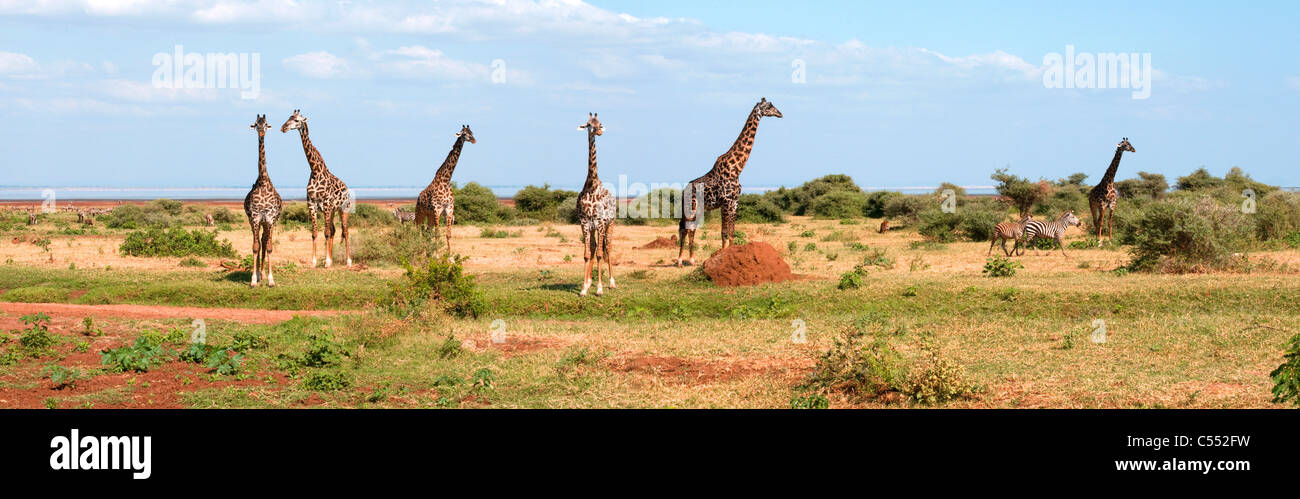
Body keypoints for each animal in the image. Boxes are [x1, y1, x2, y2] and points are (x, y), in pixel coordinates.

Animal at [281, 109, 352, 268]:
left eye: (297, 120)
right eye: (289, 117)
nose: (283, 128)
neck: (315, 171)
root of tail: (347, 189)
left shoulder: (326, 204)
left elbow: (326, 232)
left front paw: (326, 262)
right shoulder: (311, 204)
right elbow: (315, 233)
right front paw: (314, 262)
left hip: (343, 209)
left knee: (345, 231)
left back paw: (348, 261)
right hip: (332, 210)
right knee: (334, 230)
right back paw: (332, 259)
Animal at [676, 98, 782, 266]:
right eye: (769, 106)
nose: (780, 113)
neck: (736, 168)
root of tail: (682, 191)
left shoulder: (734, 202)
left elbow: (731, 231)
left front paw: (730, 254)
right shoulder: (726, 202)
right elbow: (725, 232)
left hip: (699, 209)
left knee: (691, 229)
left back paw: (692, 260)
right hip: (690, 207)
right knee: (684, 228)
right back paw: (680, 261)